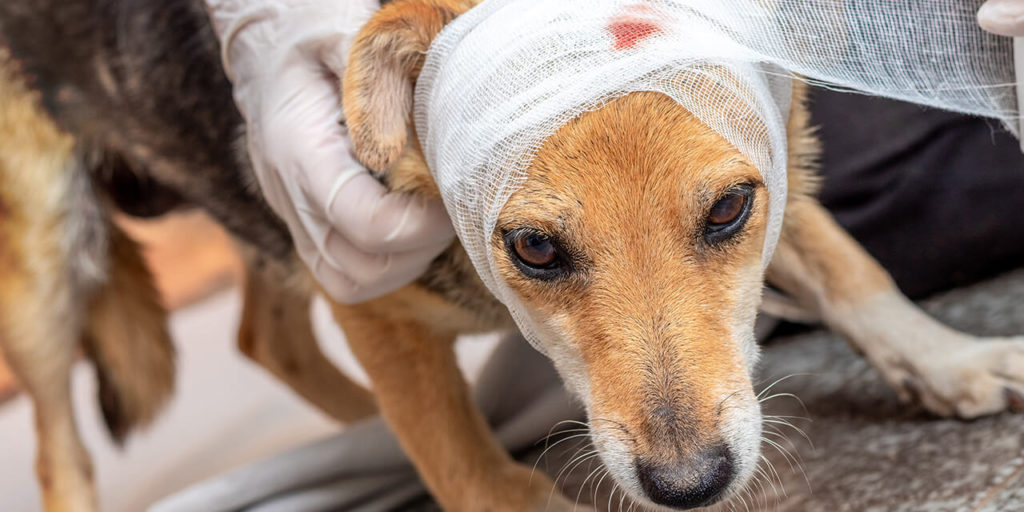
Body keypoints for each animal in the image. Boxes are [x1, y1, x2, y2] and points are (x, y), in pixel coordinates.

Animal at [2, 1, 1024, 512]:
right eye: (533, 248)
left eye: (730, 209)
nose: (690, 488)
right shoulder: (364, 291)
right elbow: (467, 466)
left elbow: (853, 269)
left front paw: (947, 360)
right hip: (47, 251)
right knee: (58, 452)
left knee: (264, 336)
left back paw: (359, 433)